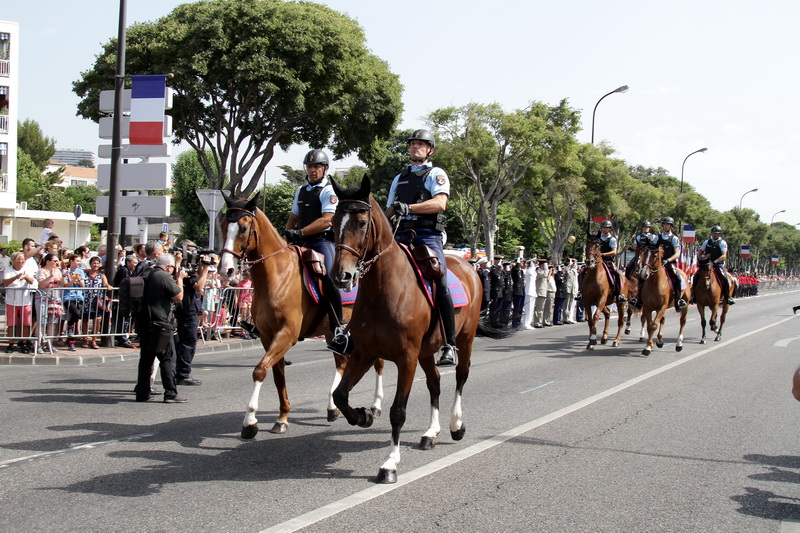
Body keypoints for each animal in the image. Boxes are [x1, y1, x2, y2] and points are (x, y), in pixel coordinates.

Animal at [217, 193, 382, 438]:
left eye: (244, 228)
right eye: (222, 225)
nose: (225, 270)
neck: (277, 275)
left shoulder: (286, 334)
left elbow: (259, 370)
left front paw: (250, 422)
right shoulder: (267, 336)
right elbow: (277, 376)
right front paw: (282, 417)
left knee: (378, 362)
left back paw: (376, 405)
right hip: (332, 332)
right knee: (342, 363)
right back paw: (332, 408)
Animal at [326, 175, 506, 482]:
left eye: (361, 222)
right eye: (334, 220)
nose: (342, 276)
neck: (382, 290)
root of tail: (469, 266)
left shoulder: (406, 358)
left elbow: (398, 411)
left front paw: (390, 463)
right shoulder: (364, 353)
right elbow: (340, 395)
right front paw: (363, 415)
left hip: (464, 340)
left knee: (460, 376)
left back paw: (456, 425)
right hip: (425, 352)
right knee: (435, 382)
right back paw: (430, 433)